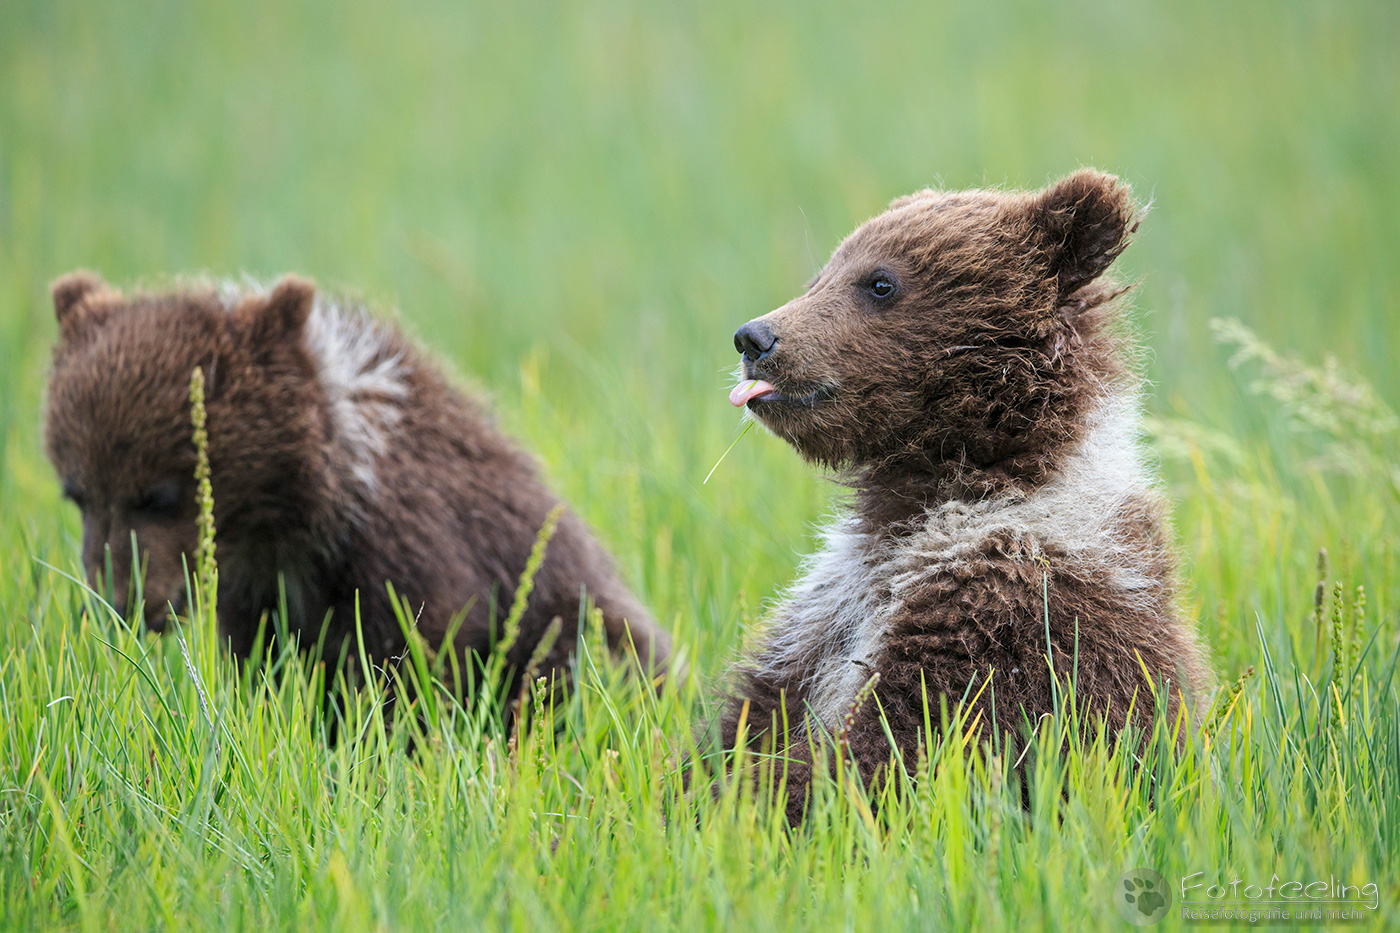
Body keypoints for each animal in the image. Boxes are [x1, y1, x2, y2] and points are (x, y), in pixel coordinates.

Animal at [43, 272, 671, 699]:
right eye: (77, 492)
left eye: (159, 495)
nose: (120, 603)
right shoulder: (259, 589)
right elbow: (262, 663)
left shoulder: (411, 544)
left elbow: (411, 660)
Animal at [718, 169, 1211, 823]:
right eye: (821, 275)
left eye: (879, 282)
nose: (755, 338)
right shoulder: (825, 610)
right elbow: (754, 716)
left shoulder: (1011, 610)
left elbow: (896, 753)